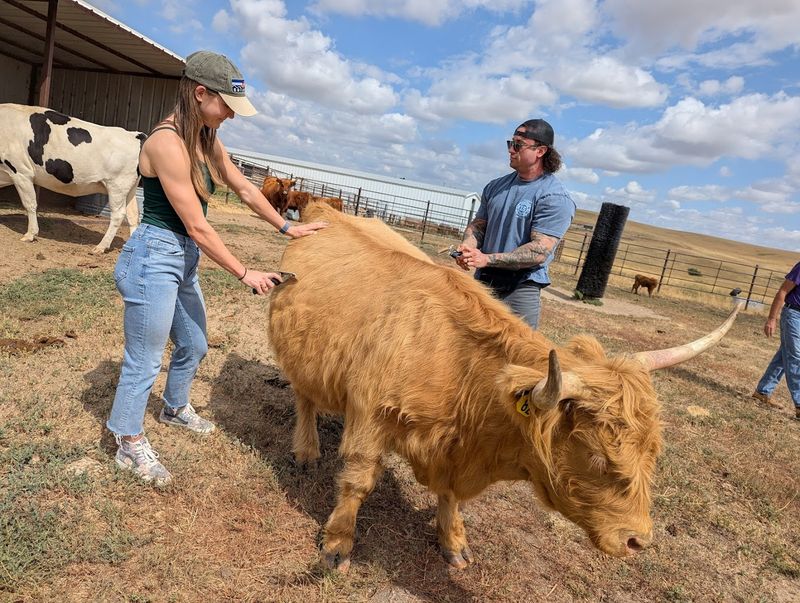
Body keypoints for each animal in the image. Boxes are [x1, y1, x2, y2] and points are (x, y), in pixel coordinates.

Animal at [0, 103, 145, 254]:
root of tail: (134, 135)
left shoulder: (21, 172)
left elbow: (30, 204)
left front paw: (30, 234)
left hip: (117, 186)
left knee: (118, 214)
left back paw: (101, 247)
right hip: (130, 189)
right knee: (133, 215)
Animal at [268, 201, 742, 571]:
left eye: (652, 453)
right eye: (597, 455)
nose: (637, 540)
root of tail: (324, 208)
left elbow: (450, 497)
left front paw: (454, 543)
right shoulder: (370, 417)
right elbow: (358, 481)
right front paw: (337, 544)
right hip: (299, 354)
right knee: (304, 398)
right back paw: (306, 450)